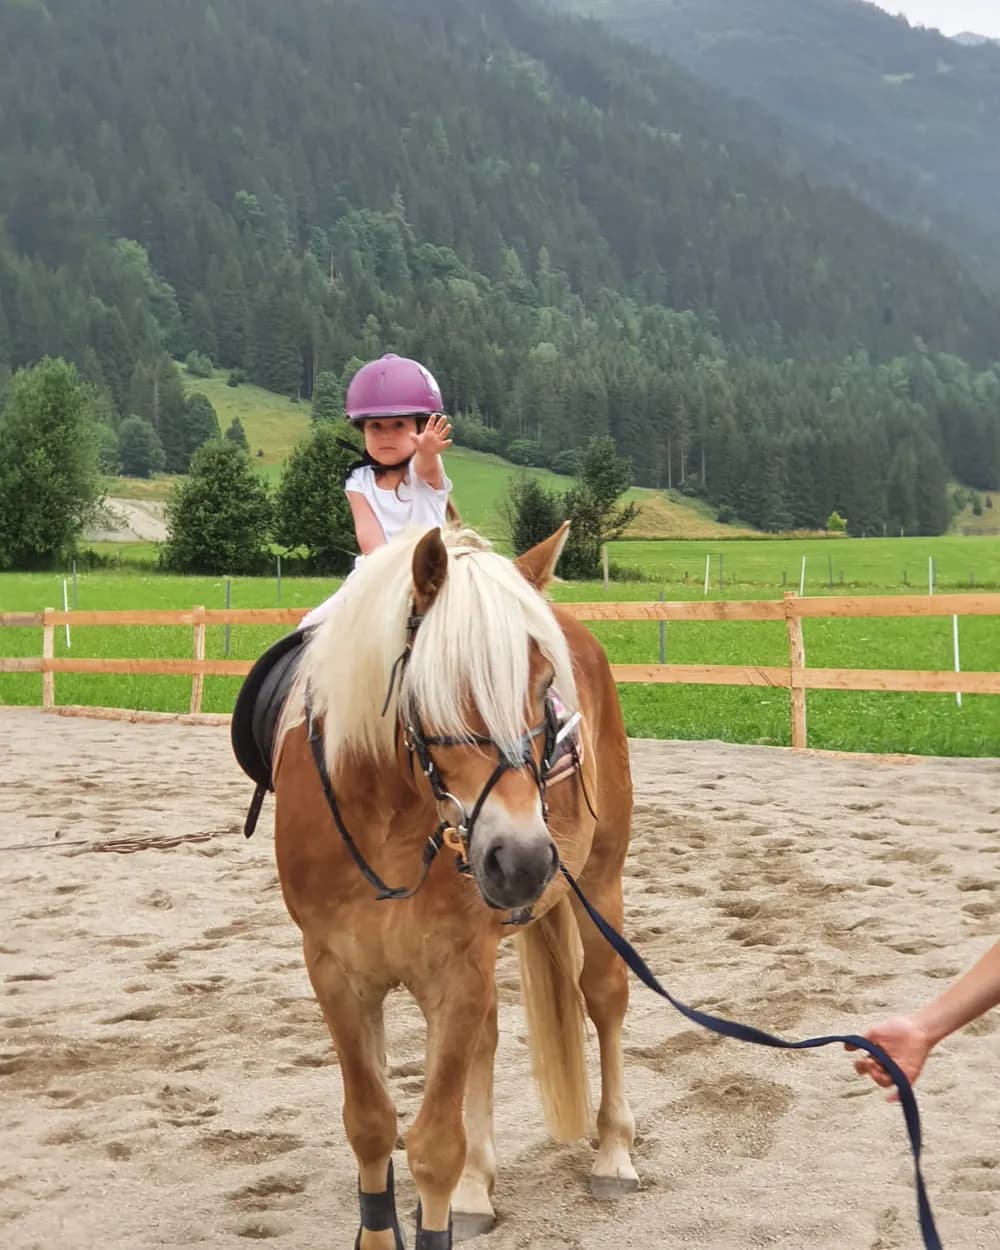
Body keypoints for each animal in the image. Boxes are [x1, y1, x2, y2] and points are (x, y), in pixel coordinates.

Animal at [271, 522, 637, 1249]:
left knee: (605, 996)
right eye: (436, 684)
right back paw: (477, 1189)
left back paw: (613, 1153)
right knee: (488, 1042)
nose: (522, 859)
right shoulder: (335, 972)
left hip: (601, 881)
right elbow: (371, 1126)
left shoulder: (456, 969)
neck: (386, 819)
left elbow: (435, 1147)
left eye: (544, 682)